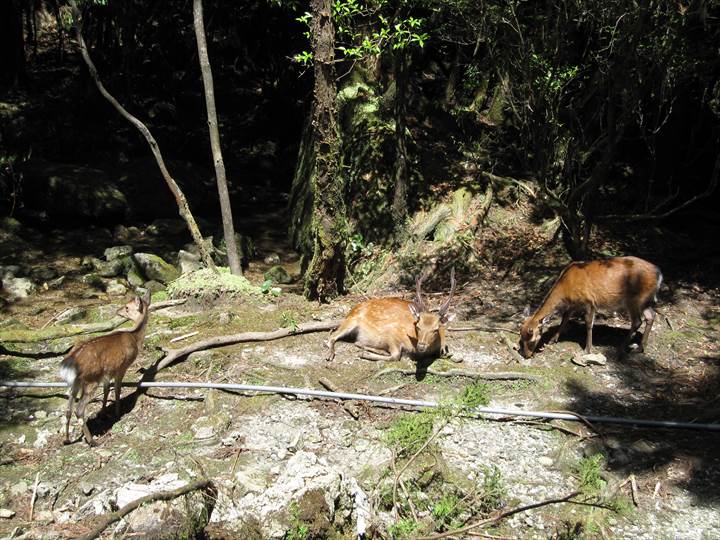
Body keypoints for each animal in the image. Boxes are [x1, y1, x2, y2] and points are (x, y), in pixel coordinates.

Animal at [59, 292, 153, 448]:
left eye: (127, 307)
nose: (118, 310)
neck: (135, 339)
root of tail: (70, 362)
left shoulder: (107, 374)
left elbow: (106, 391)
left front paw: (103, 413)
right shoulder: (122, 367)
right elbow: (117, 390)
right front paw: (117, 412)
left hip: (75, 383)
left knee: (68, 409)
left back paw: (66, 439)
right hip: (90, 380)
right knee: (79, 410)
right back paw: (92, 441)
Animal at [326, 266, 456, 360]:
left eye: (436, 329)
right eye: (418, 327)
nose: (421, 346)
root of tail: (352, 309)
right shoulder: (390, 333)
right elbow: (396, 355)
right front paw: (365, 355)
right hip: (351, 321)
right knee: (332, 336)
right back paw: (330, 355)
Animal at [516, 258, 664, 358]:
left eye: (532, 340)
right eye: (521, 339)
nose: (526, 355)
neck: (565, 287)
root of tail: (660, 275)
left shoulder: (589, 301)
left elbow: (588, 324)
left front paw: (587, 349)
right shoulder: (573, 303)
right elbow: (564, 319)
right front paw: (553, 340)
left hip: (634, 299)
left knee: (638, 321)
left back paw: (622, 347)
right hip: (645, 300)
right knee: (651, 315)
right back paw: (639, 348)